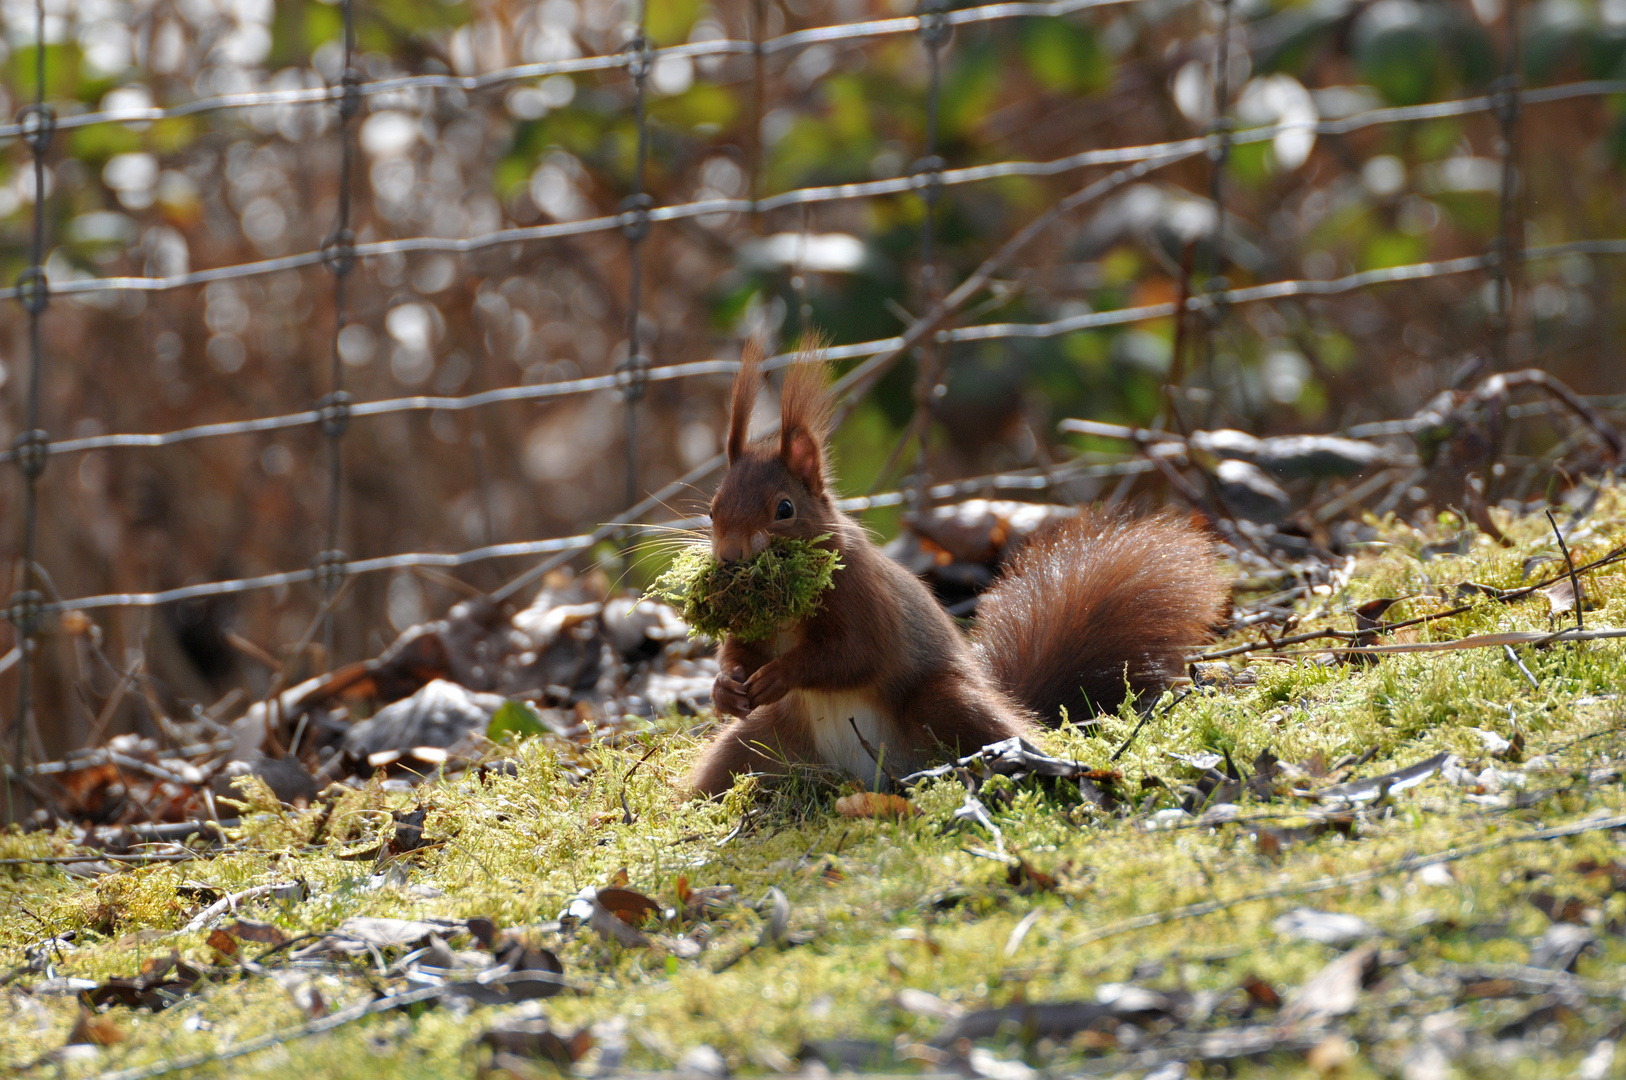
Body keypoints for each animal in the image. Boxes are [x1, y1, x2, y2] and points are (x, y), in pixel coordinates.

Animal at [689, 346, 1229, 793]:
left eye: (784, 509)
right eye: (713, 510)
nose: (730, 555)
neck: (789, 606)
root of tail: (871, 777)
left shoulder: (861, 595)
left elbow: (855, 654)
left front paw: (781, 673)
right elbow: (742, 652)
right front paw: (725, 687)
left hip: (946, 703)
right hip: (761, 740)